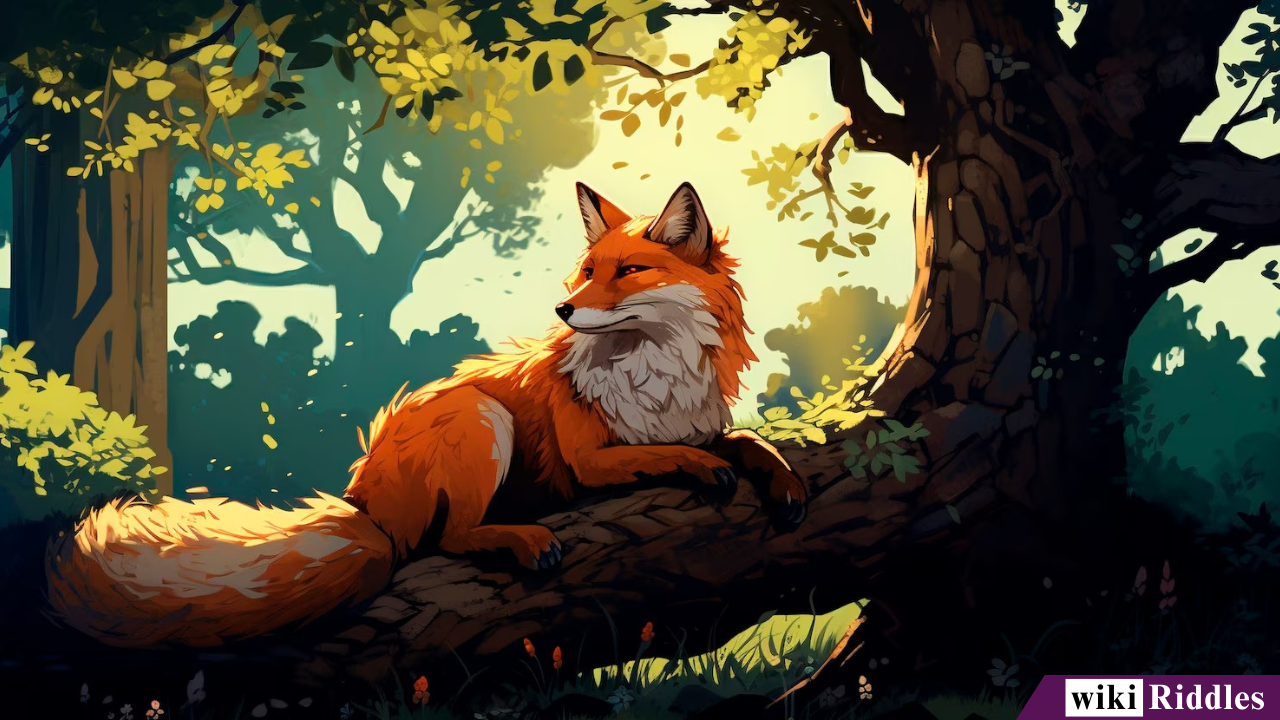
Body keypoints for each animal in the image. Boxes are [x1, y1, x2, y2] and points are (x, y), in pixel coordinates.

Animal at [45, 181, 810, 648]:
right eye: (587, 272)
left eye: (627, 273)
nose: (562, 309)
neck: (653, 377)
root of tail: (364, 503)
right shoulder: (590, 463)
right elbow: (668, 454)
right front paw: (705, 470)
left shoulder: (698, 420)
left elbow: (745, 440)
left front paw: (786, 482)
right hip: (482, 420)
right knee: (451, 536)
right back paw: (521, 537)